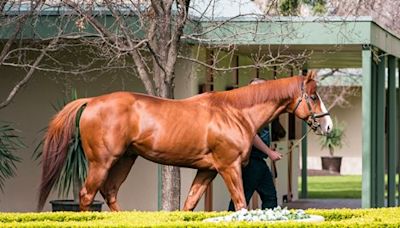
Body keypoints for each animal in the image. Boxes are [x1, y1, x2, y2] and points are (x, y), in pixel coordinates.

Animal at [37, 71, 332, 212]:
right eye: (313, 96)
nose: (328, 125)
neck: (234, 112)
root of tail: (91, 101)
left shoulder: (207, 171)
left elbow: (189, 204)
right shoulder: (229, 167)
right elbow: (240, 204)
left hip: (125, 160)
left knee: (109, 193)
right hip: (102, 162)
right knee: (87, 195)